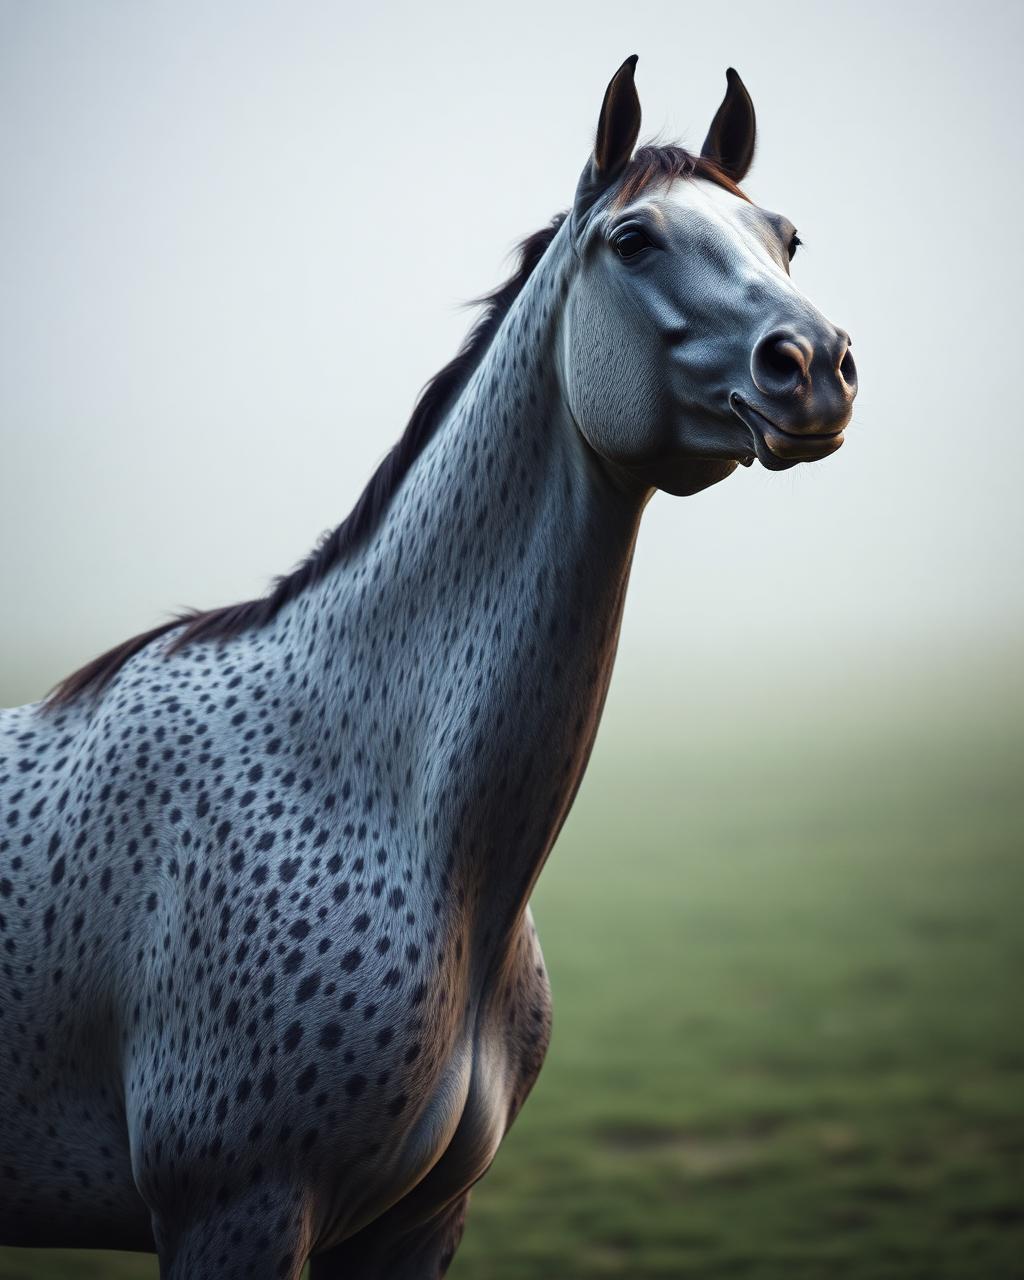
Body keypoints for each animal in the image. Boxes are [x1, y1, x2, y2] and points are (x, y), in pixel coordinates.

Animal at [0, 57, 856, 1278]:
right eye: (633, 238)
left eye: (785, 237)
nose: (815, 367)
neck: (388, 801)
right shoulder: (234, 1213)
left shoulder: (416, 1221)